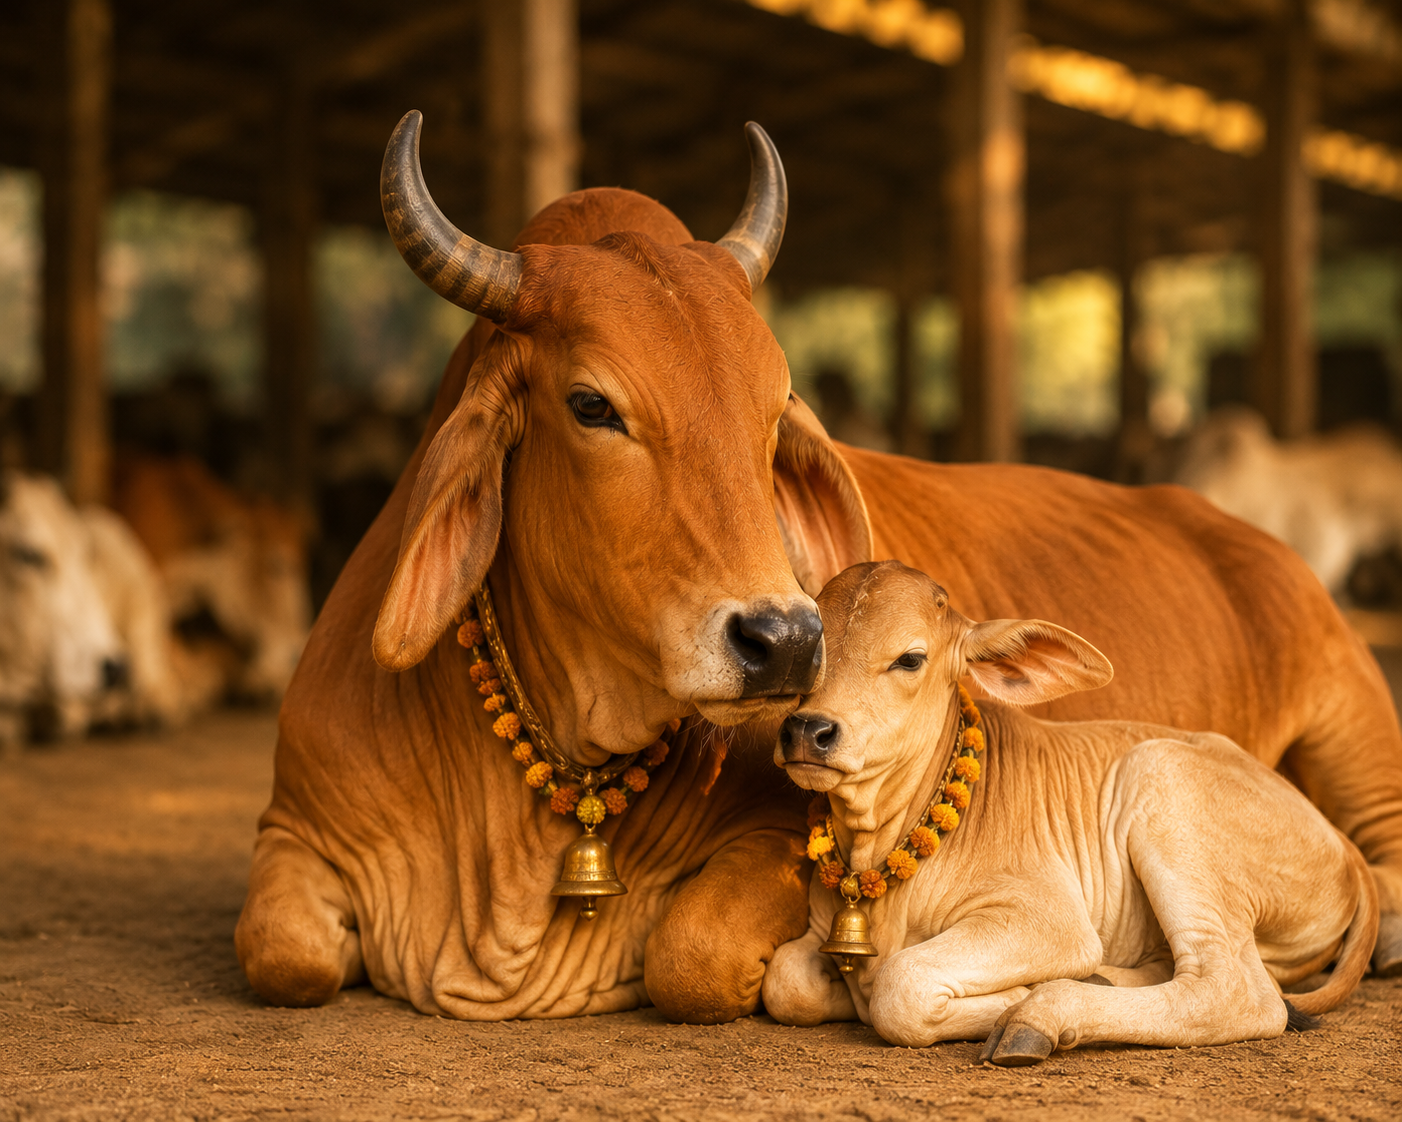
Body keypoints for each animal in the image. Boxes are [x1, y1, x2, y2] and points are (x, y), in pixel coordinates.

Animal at [764, 561, 1377, 1061]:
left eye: (910, 659)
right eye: (814, 649)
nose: (808, 730)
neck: (878, 848)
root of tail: (1346, 849)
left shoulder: (1048, 918)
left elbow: (899, 987)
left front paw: (1017, 996)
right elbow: (785, 981)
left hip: (1160, 777)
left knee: (1237, 991)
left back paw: (1040, 1014)